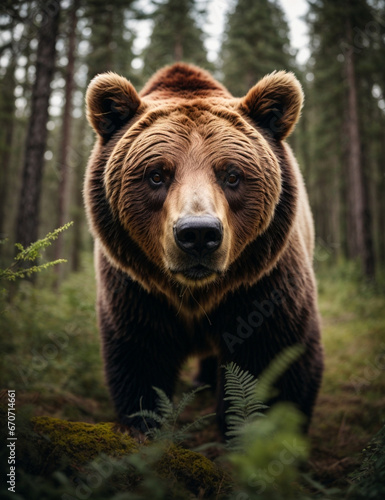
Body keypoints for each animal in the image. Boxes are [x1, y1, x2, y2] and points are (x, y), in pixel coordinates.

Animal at [85, 62, 324, 436]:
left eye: (232, 174)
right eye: (156, 174)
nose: (198, 234)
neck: (196, 294)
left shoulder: (263, 287)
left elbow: (274, 367)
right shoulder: (137, 294)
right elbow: (140, 367)